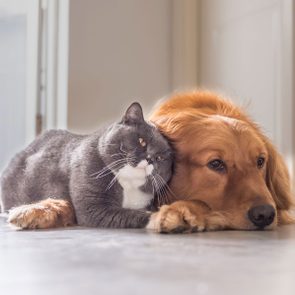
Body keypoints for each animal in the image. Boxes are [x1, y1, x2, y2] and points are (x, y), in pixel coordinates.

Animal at [1, 103, 175, 230]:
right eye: (141, 141)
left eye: (160, 158)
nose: (150, 159)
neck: (129, 185)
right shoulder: (93, 208)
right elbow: (136, 215)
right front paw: (163, 217)